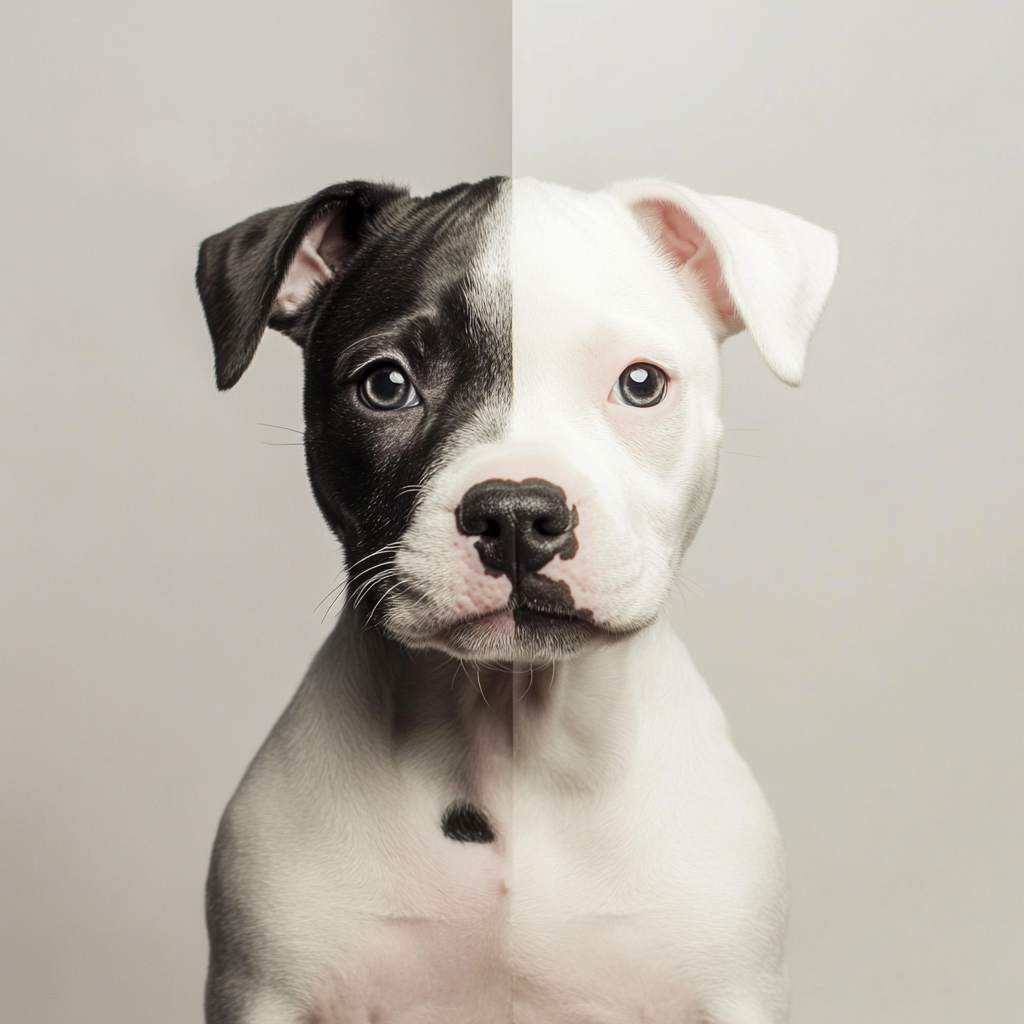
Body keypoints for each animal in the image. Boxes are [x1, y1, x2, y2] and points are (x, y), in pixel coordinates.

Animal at [195, 178, 835, 1024]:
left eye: (641, 384)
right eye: (386, 385)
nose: (516, 513)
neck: (511, 733)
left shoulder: (734, 992)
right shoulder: (265, 991)